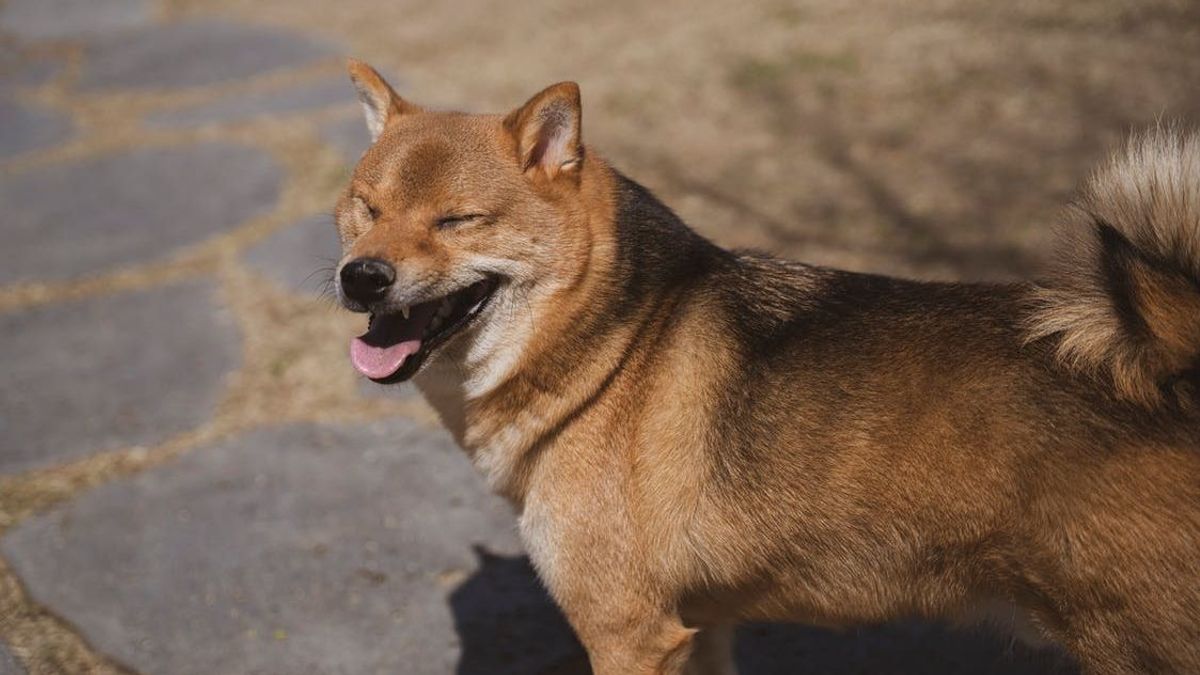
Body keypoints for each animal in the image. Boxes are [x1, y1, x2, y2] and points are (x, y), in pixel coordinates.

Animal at [331, 59, 1200, 672]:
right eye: (366, 207)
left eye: (457, 220)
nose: (361, 276)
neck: (615, 350)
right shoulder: (699, 626)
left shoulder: (628, 634)